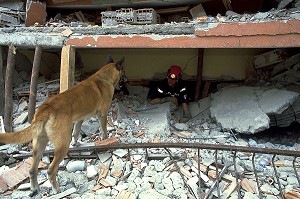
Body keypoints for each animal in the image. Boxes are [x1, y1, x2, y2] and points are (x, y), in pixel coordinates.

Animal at [0, 55, 125, 195]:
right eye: (123, 72)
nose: (125, 81)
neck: (104, 76)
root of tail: (46, 108)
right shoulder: (102, 114)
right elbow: (104, 131)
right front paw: (106, 142)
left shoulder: (80, 119)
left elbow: (76, 132)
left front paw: (76, 143)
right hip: (62, 145)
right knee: (50, 170)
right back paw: (57, 189)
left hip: (39, 146)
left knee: (32, 170)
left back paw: (34, 188)